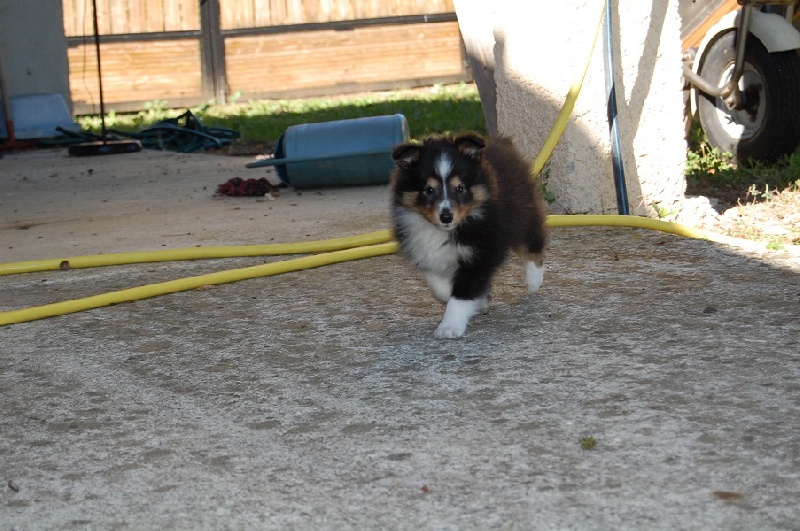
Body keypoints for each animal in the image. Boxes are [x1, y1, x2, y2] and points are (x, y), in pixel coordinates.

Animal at [390, 132, 548, 339]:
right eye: (429, 190)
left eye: (460, 188)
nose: (446, 216)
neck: (442, 231)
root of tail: (502, 141)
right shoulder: (424, 253)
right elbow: (437, 284)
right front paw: (473, 299)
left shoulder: (480, 254)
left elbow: (463, 292)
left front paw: (449, 326)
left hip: (523, 213)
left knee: (532, 243)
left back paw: (533, 280)